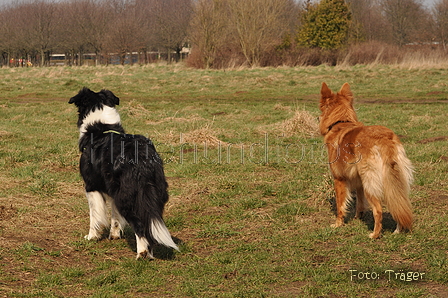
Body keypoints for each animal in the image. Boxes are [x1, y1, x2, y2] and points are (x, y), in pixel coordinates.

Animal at [69, 88, 178, 258]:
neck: (101, 128)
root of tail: (142, 158)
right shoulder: (113, 190)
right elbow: (114, 217)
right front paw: (114, 235)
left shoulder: (91, 186)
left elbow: (94, 216)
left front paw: (92, 236)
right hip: (154, 193)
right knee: (151, 224)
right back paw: (149, 252)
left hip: (128, 197)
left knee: (140, 225)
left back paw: (142, 253)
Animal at [318, 82, 412, 239]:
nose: (317, 118)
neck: (340, 122)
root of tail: (383, 139)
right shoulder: (358, 181)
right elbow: (360, 203)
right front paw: (358, 218)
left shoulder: (339, 179)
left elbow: (340, 205)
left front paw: (338, 224)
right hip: (394, 180)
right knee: (399, 202)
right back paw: (398, 230)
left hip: (370, 181)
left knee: (378, 210)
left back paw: (375, 234)